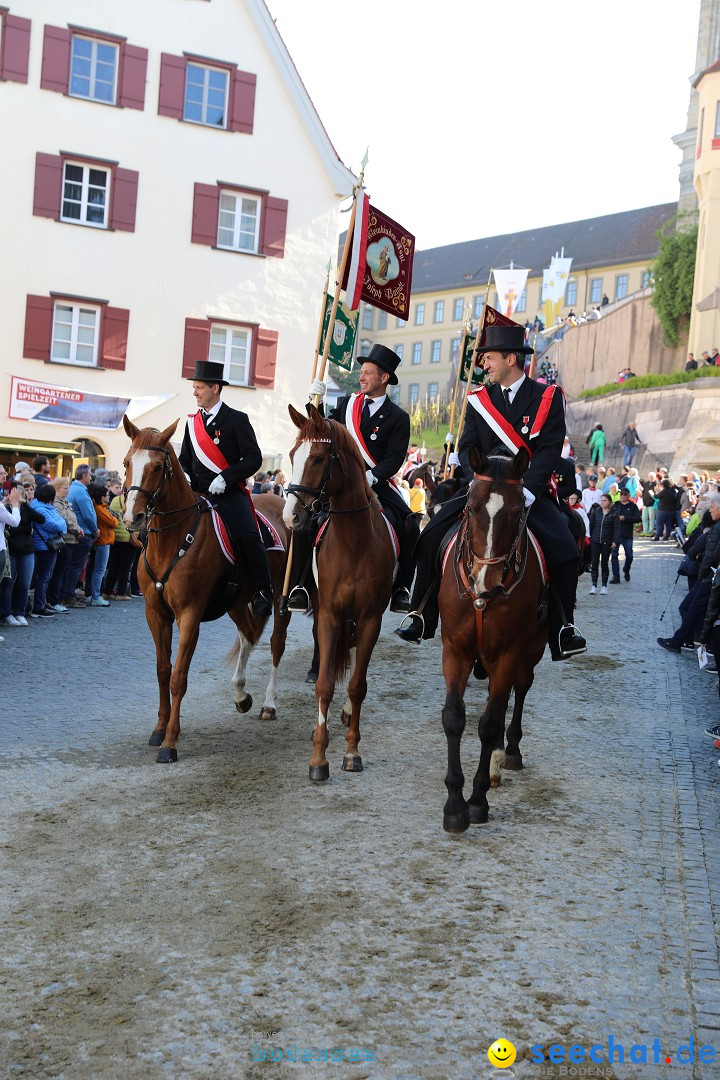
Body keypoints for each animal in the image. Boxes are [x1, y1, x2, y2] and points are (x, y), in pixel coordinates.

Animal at [122, 416, 291, 764]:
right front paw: (159, 729)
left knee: (275, 645)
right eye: (127, 462)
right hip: (237, 602)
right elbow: (163, 671)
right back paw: (241, 694)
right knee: (248, 635)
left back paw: (268, 703)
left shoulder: (189, 615)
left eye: (157, 466)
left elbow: (179, 678)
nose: (133, 518)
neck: (171, 541)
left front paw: (170, 742)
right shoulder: (155, 613)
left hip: (281, 599)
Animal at [284, 401, 397, 781]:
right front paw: (319, 757)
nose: (291, 516)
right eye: (292, 455)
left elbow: (357, 685)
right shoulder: (330, 615)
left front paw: (352, 751)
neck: (354, 543)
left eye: (318, 458)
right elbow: (324, 684)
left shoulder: (371, 619)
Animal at [436, 442, 548, 829]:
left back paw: (507, 752)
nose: (487, 582)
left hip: (530, 653)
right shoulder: (456, 649)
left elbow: (488, 723)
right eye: (471, 507)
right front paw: (454, 804)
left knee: (520, 690)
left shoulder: (510, 653)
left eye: (517, 512)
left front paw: (477, 800)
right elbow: (455, 718)